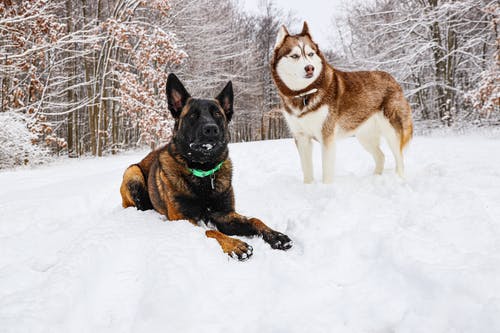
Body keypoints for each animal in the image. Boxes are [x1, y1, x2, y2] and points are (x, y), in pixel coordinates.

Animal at [120, 74, 292, 260]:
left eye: (217, 114)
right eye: (192, 115)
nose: (211, 129)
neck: (203, 171)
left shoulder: (223, 214)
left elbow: (254, 220)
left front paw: (276, 235)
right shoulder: (182, 219)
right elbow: (210, 231)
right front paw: (234, 244)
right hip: (133, 173)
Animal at [272, 22, 412, 183]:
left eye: (310, 54)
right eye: (295, 56)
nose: (310, 68)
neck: (304, 94)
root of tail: (393, 79)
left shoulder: (327, 136)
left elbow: (326, 171)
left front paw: (326, 187)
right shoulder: (301, 138)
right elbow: (307, 171)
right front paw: (309, 186)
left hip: (392, 131)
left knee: (400, 158)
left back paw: (399, 179)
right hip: (365, 136)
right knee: (381, 156)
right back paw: (375, 178)